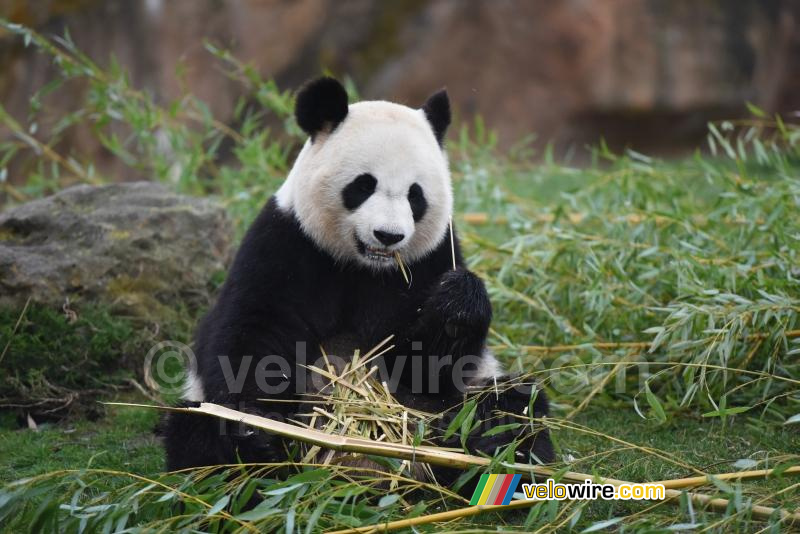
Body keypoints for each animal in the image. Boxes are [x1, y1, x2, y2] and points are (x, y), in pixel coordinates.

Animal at [163, 77, 553, 485]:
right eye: (364, 185)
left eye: (416, 195)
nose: (389, 235)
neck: (364, 267)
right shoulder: (284, 244)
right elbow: (251, 334)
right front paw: (256, 427)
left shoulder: (430, 260)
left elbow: (429, 368)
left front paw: (457, 303)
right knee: (197, 429)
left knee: (511, 409)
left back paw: (484, 452)